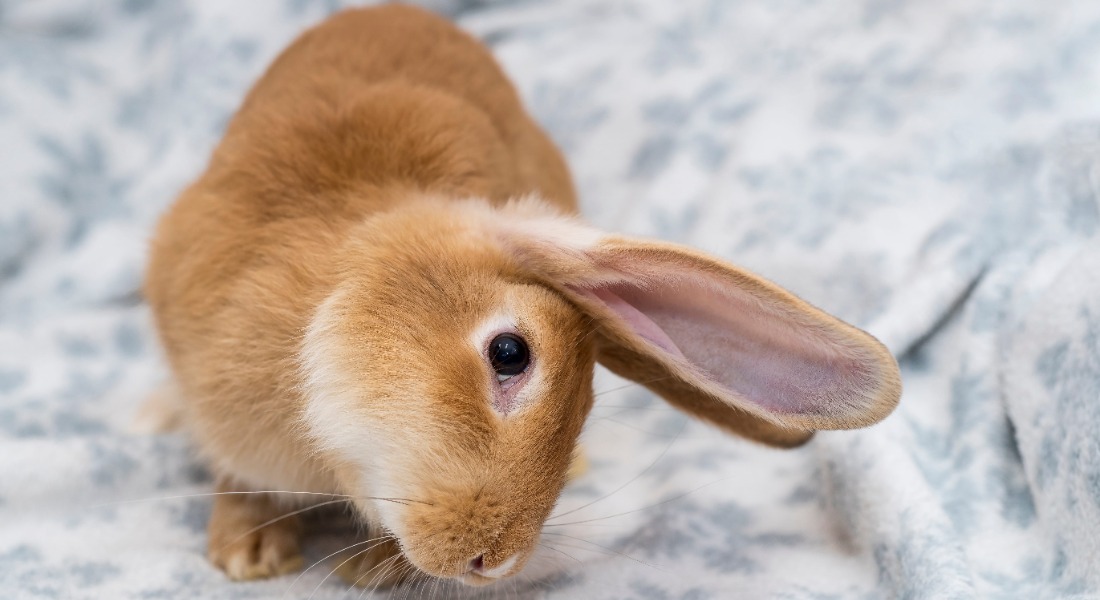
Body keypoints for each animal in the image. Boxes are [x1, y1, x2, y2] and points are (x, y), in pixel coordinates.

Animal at [144, 2, 902, 585]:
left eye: (588, 403)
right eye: (510, 353)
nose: (494, 562)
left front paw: (374, 567)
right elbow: (235, 476)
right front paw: (247, 552)